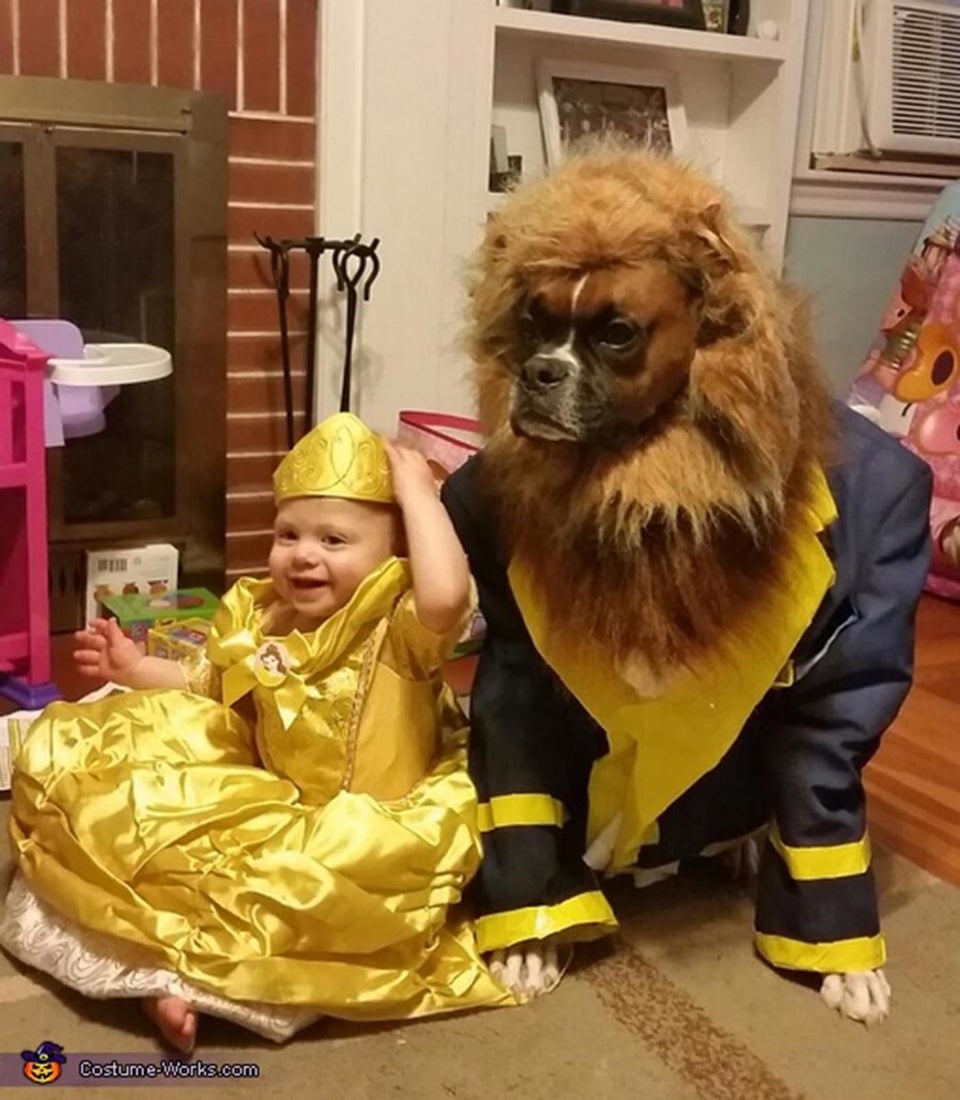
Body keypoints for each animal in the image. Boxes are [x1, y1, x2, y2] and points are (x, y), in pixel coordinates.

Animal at [442, 141, 928, 1025]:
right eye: (532, 321)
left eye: (617, 333)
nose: (538, 372)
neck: (647, 490)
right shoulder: (520, 684)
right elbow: (523, 799)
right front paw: (533, 938)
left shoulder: (834, 690)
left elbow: (821, 796)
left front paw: (844, 962)